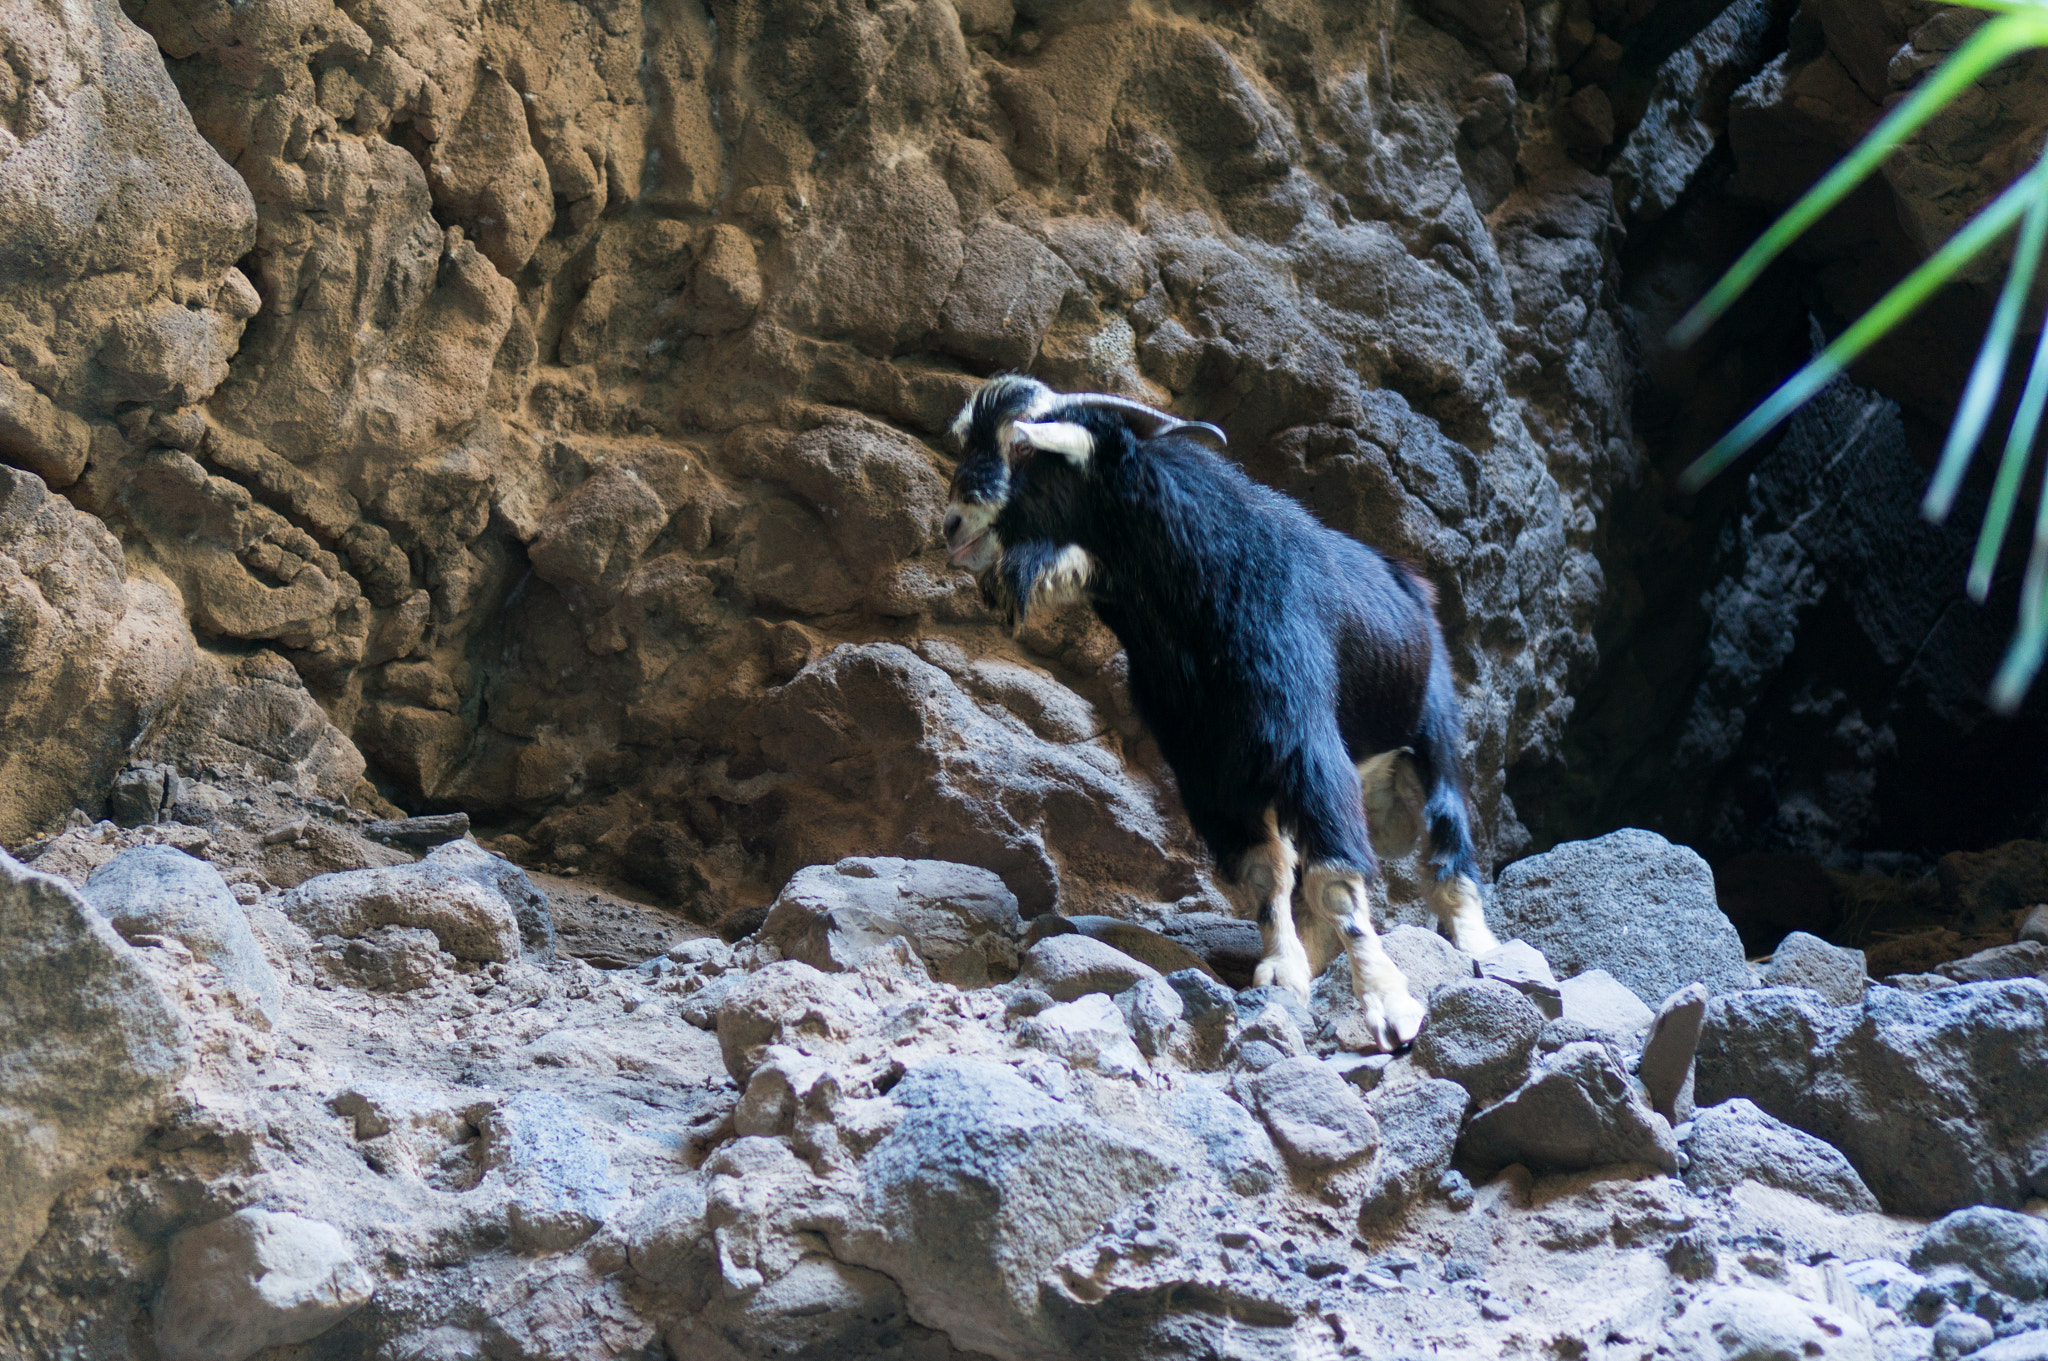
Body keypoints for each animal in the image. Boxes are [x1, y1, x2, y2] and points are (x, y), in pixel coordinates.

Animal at [942, 374, 1507, 1047]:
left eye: (1025, 447)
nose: (951, 525)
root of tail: (1411, 581)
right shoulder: (1208, 769)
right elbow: (1267, 874)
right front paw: (1283, 974)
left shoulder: (1304, 740)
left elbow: (1334, 879)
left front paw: (1389, 1006)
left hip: (1433, 728)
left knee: (1447, 830)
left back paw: (1480, 945)